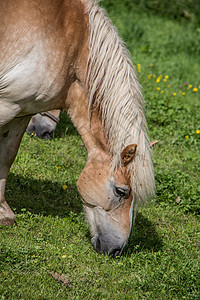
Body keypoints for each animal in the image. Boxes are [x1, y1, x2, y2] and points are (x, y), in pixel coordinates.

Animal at [0, 0, 155, 258]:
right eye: (121, 191)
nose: (117, 250)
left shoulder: (21, 112)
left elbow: (6, 157)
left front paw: (3, 212)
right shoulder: (6, 105)